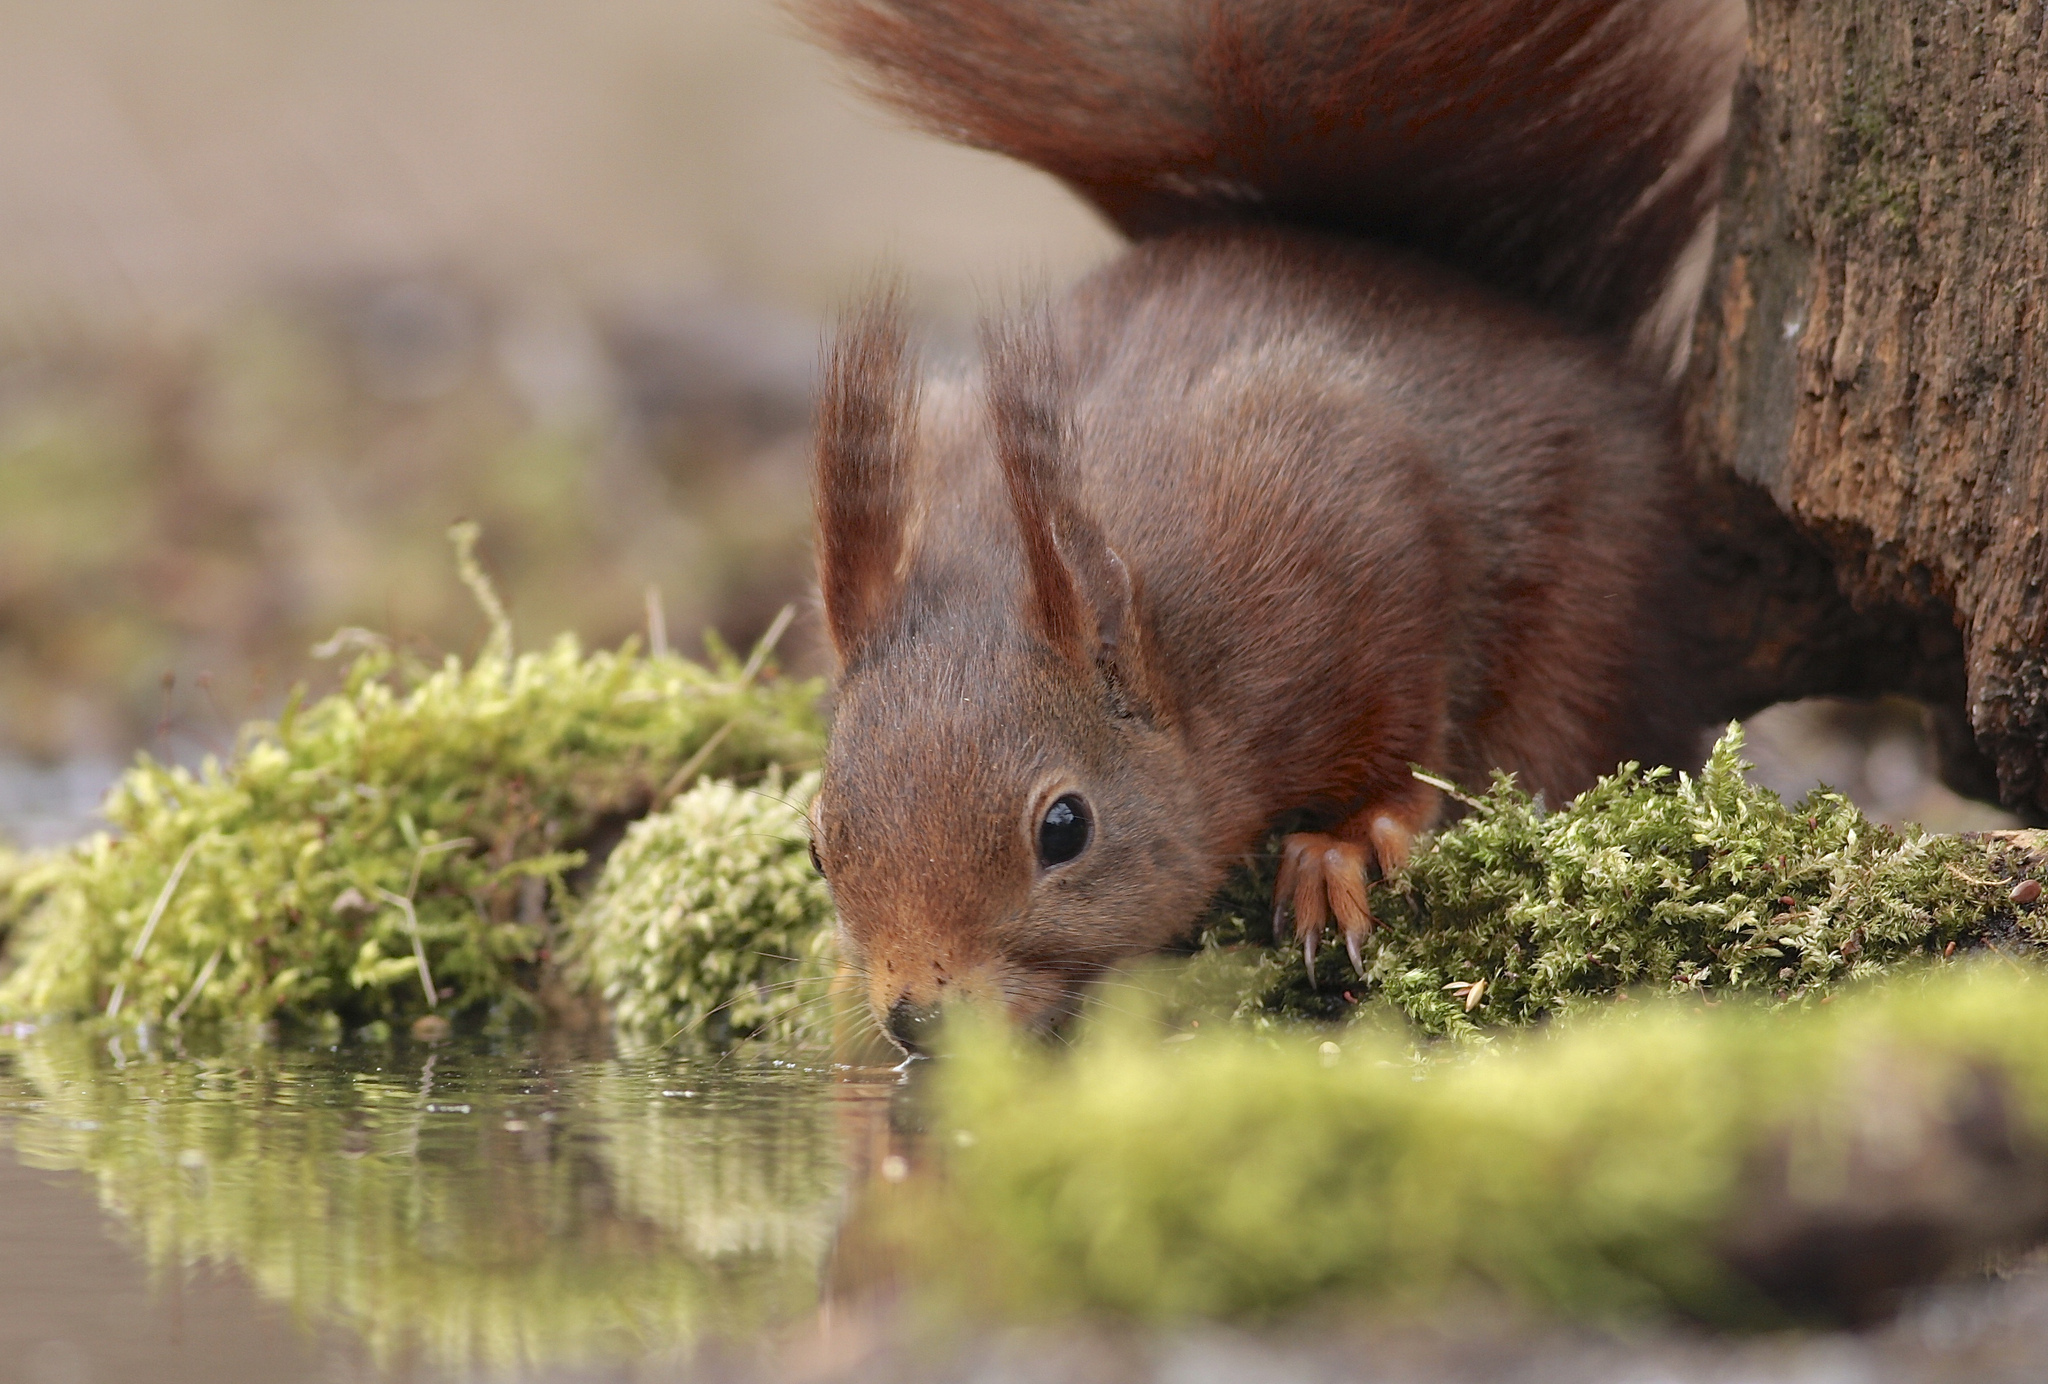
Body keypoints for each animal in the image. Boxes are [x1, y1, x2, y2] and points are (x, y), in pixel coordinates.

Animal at [798, 0, 1744, 1048]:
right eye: (819, 844)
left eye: (1064, 828)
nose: (917, 1018)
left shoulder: (1350, 532)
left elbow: (1405, 735)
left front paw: (1345, 848)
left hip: (1593, 626)